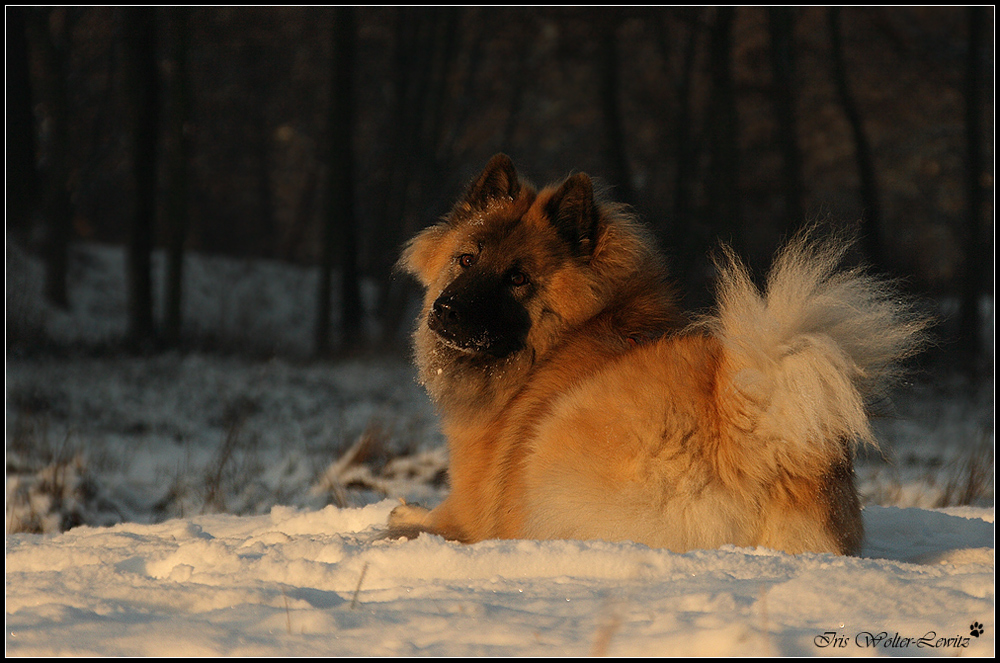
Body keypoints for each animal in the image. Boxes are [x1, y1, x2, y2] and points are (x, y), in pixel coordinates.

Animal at [386, 156, 924, 556]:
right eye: (466, 259)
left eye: (518, 278)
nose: (446, 311)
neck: (566, 337)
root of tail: (750, 434)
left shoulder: (472, 506)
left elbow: (436, 517)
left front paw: (400, 515)